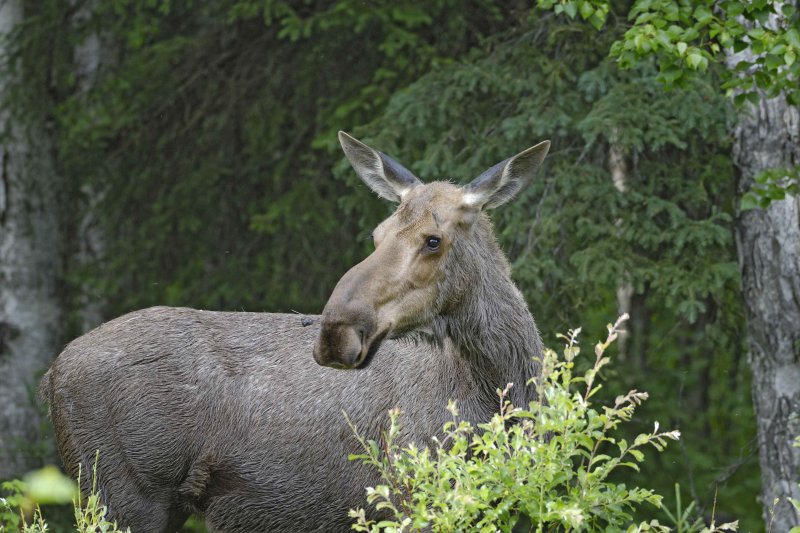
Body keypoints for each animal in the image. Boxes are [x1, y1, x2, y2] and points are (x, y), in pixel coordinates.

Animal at [42, 131, 552, 528]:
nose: (335, 333)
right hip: (124, 494)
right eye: (377, 234)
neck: (504, 390)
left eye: (434, 239)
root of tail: (51, 374)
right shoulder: (411, 490)